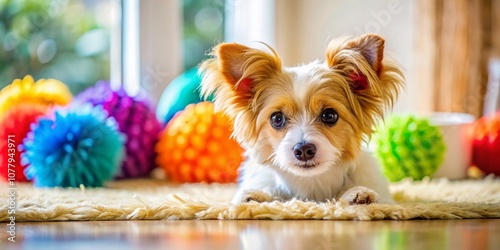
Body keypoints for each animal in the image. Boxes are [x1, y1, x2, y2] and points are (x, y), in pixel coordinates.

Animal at [198, 34, 402, 204]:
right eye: (277, 118)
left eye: (330, 115)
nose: (303, 149)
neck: (311, 185)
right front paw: (255, 196)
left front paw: (356, 193)